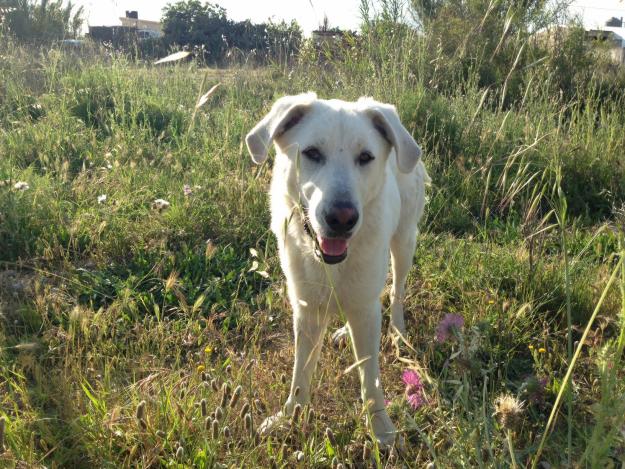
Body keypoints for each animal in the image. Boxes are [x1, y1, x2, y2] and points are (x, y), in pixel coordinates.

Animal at [246, 92, 426, 446]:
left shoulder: (365, 308)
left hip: (404, 242)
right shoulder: (305, 310)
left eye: (366, 157)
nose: (341, 218)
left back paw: (397, 331)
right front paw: (289, 419)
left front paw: (381, 430)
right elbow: (300, 375)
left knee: (396, 290)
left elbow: (370, 380)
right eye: (312, 153)